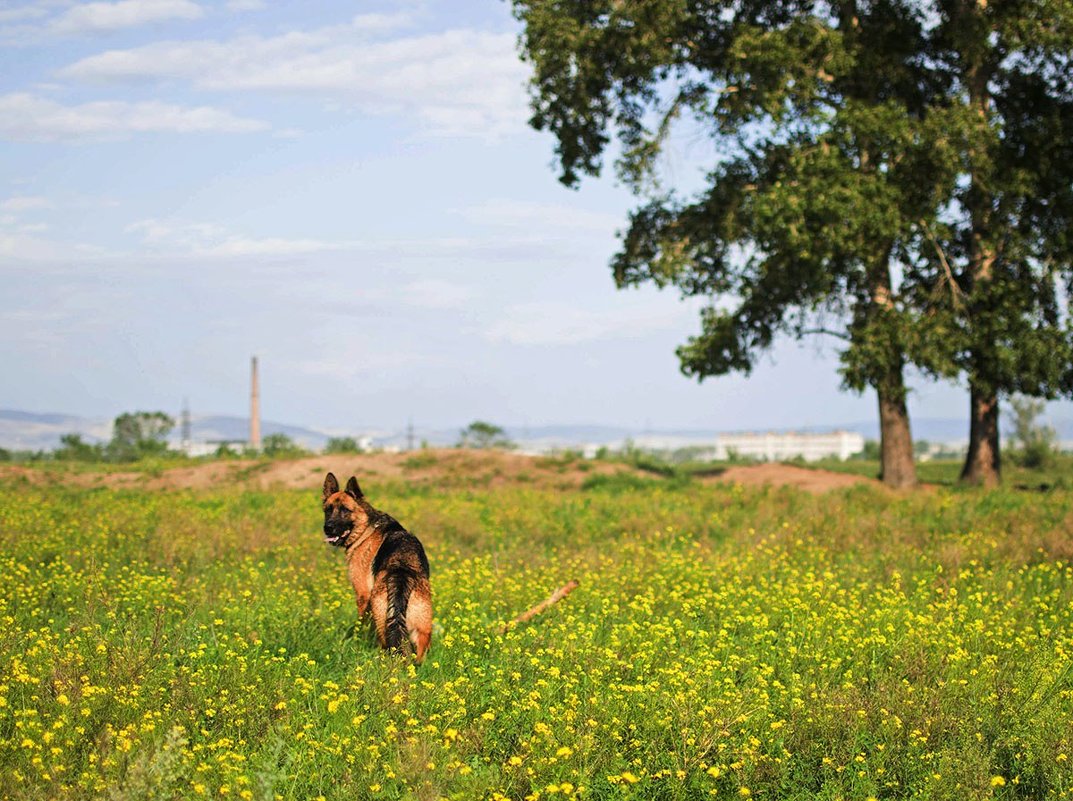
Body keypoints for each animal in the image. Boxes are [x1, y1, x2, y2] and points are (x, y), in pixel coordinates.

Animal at [321, 473, 431, 660]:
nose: (328, 528)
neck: (366, 527)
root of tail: (402, 572)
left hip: (382, 620)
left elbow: (361, 625)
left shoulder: (363, 595)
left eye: (345, 510)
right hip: (422, 629)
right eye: (328, 510)